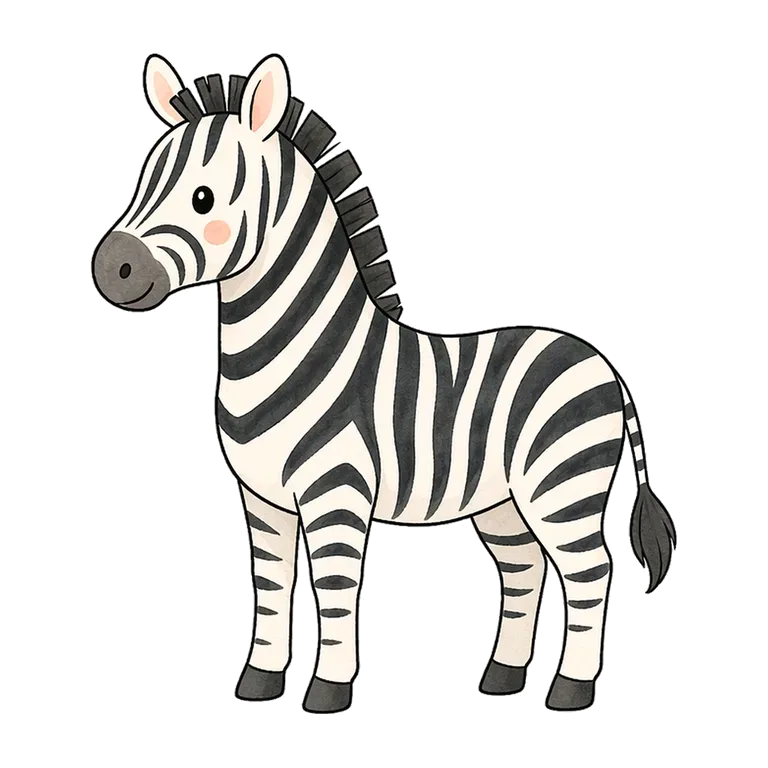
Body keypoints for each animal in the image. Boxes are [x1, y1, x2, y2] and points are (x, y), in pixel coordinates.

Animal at [90, 52, 677, 714]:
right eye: (142, 182)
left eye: (202, 197)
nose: (108, 268)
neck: (299, 346)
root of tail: (605, 364)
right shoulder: (262, 500)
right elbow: (269, 586)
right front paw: (260, 682)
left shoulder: (336, 493)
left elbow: (334, 591)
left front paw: (327, 691)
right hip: (501, 504)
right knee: (524, 569)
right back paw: (501, 677)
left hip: (562, 488)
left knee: (590, 574)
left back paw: (571, 690)